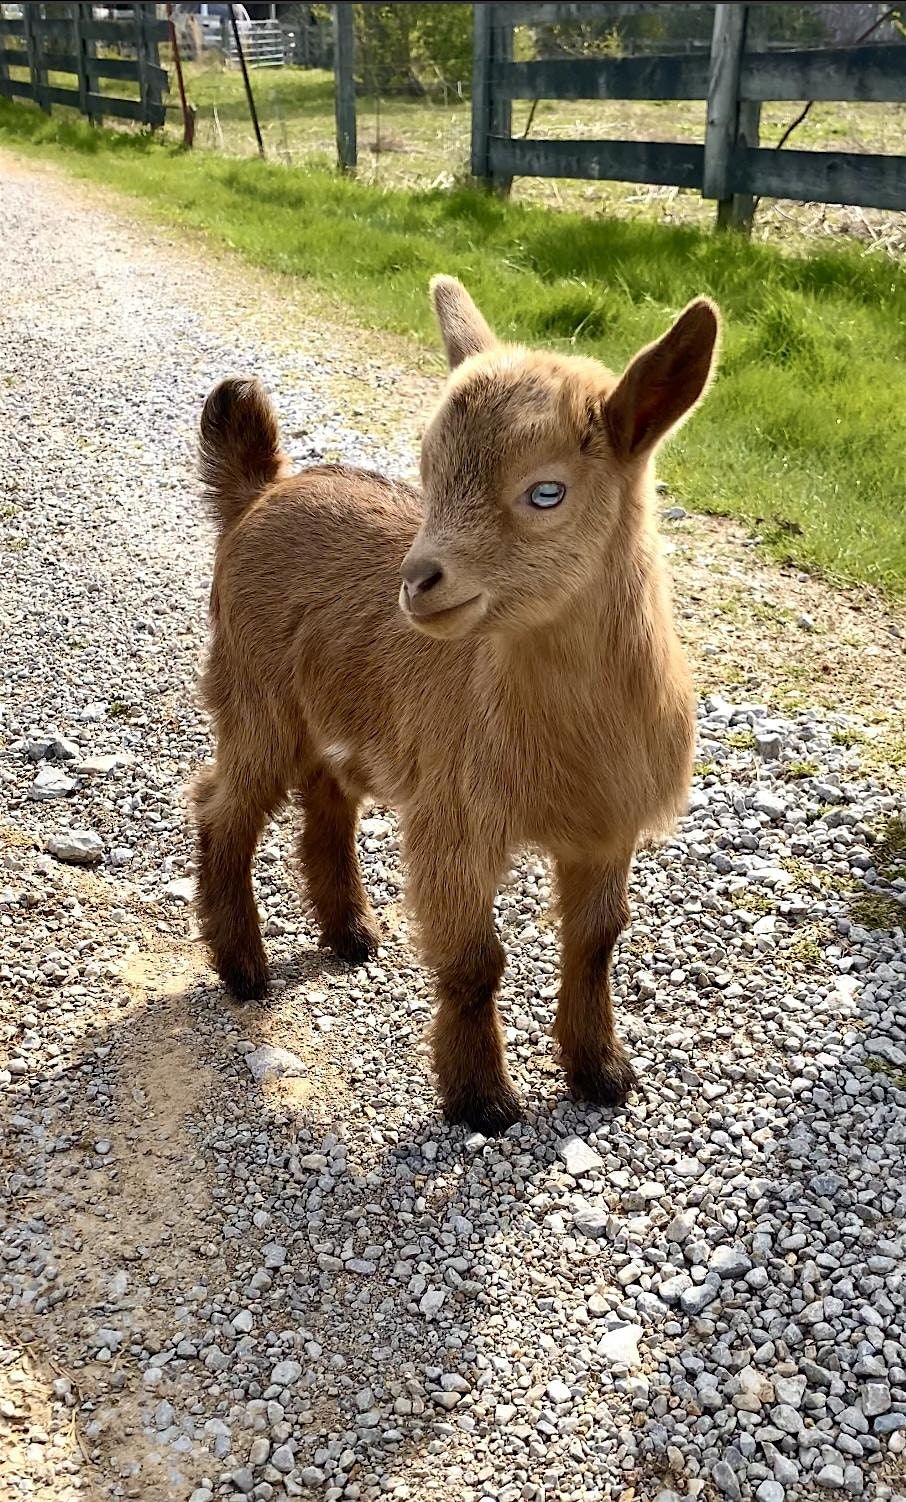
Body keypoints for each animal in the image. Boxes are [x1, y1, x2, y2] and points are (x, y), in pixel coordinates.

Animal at [195, 276, 718, 1129]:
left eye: (547, 491)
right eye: (429, 470)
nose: (416, 583)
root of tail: (262, 488)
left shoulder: (609, 829)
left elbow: (596, 943)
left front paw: (601, 1072)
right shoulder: (456, 818)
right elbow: (477, 960)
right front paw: (482, 1098)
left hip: (342, 710)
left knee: (327, 798)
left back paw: (349, 933)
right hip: (254, 693)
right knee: (222, 807)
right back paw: (244, 968)